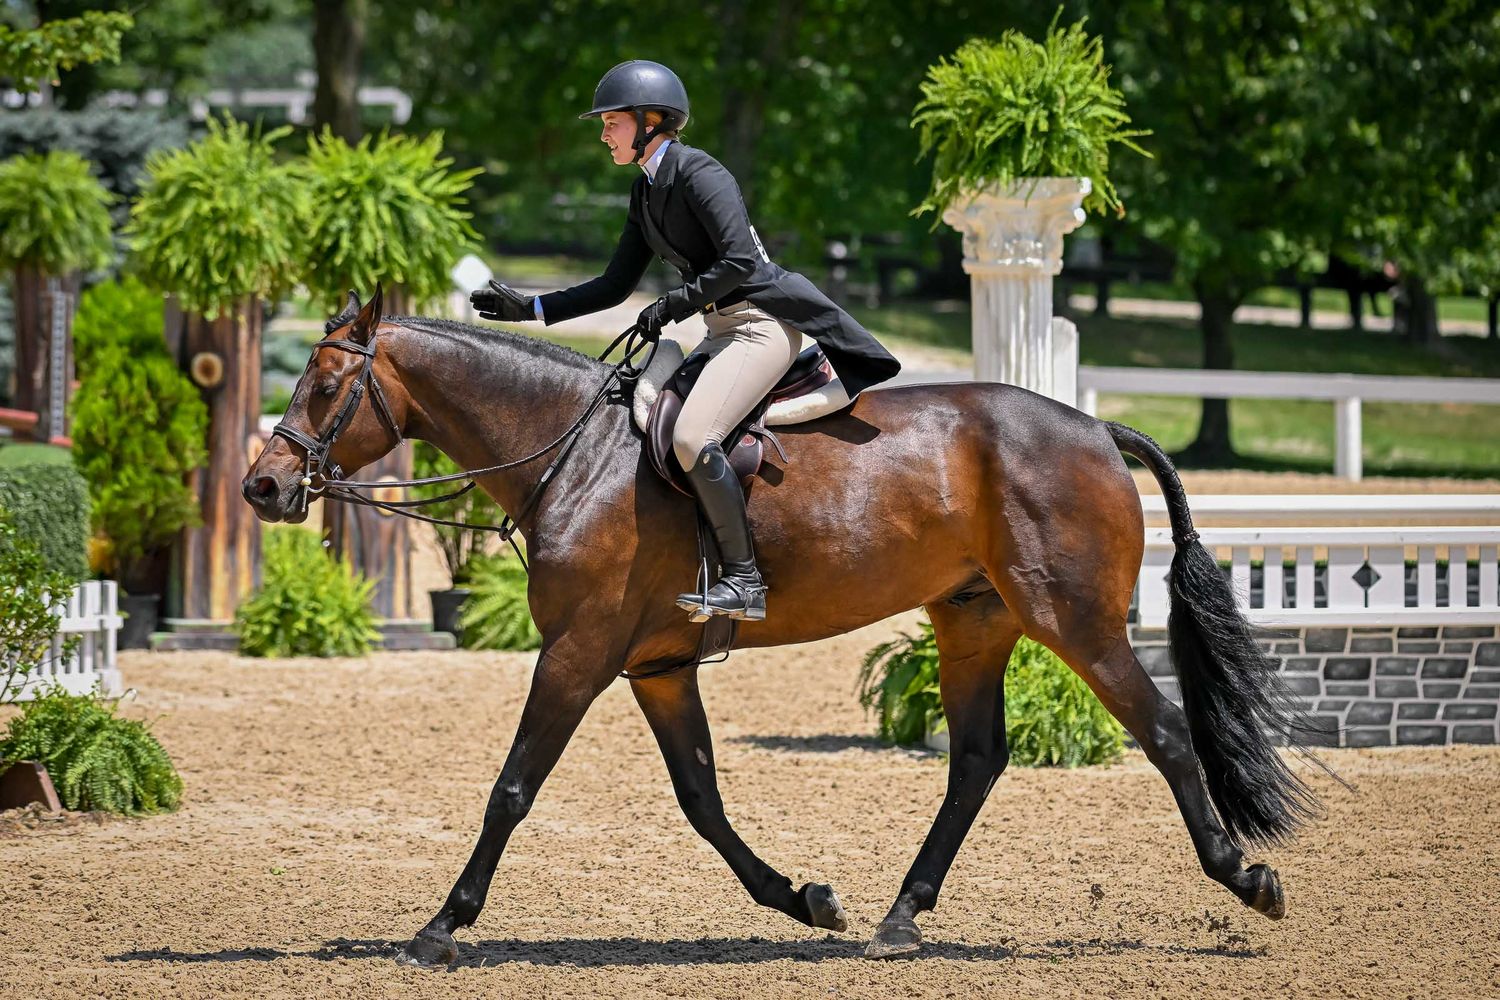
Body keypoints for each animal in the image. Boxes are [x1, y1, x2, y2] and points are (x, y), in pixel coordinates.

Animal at [242, 288, 1319, 967]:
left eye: (326, 389)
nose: (263, 487)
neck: (571, 454)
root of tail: (1097, 427)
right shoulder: (657, 668)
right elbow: (702, 800)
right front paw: (805, 898)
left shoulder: (578, 655)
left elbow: (511, 790)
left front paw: (440, 927)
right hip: (975, 620)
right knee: (976, 759)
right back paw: (899, 916)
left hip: (1076, 622)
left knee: (1165, 732)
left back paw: (1245, 876)